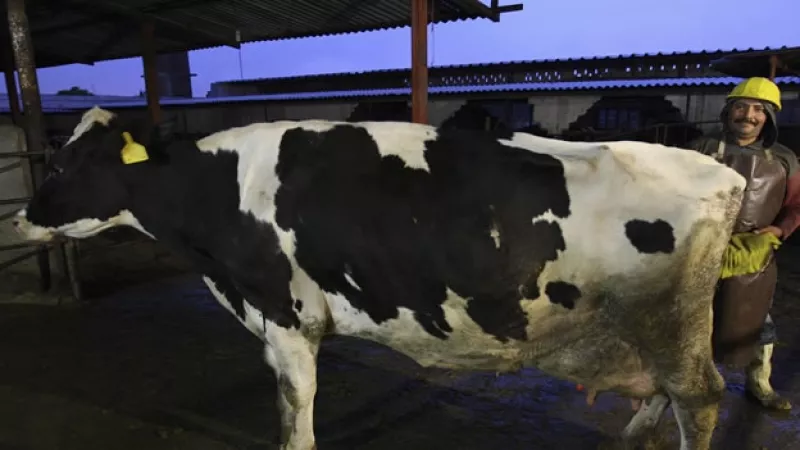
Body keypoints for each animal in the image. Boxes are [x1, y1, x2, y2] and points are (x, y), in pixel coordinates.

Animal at [13, 106, 745, 450]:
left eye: (63, 165)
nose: (19, 216)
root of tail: (720, 170)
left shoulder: (287, 313)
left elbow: (297, 402)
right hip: (643, 328)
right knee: (661, 393)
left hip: (669, 320)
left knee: (701, 397)